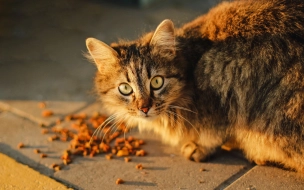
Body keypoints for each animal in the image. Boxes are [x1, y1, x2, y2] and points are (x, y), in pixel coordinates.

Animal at [85, 0, 304, 172]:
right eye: (125, 88)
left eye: (156, 82)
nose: (144, 108)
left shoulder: (220, 91)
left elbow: (213, 132)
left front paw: (200, 146)